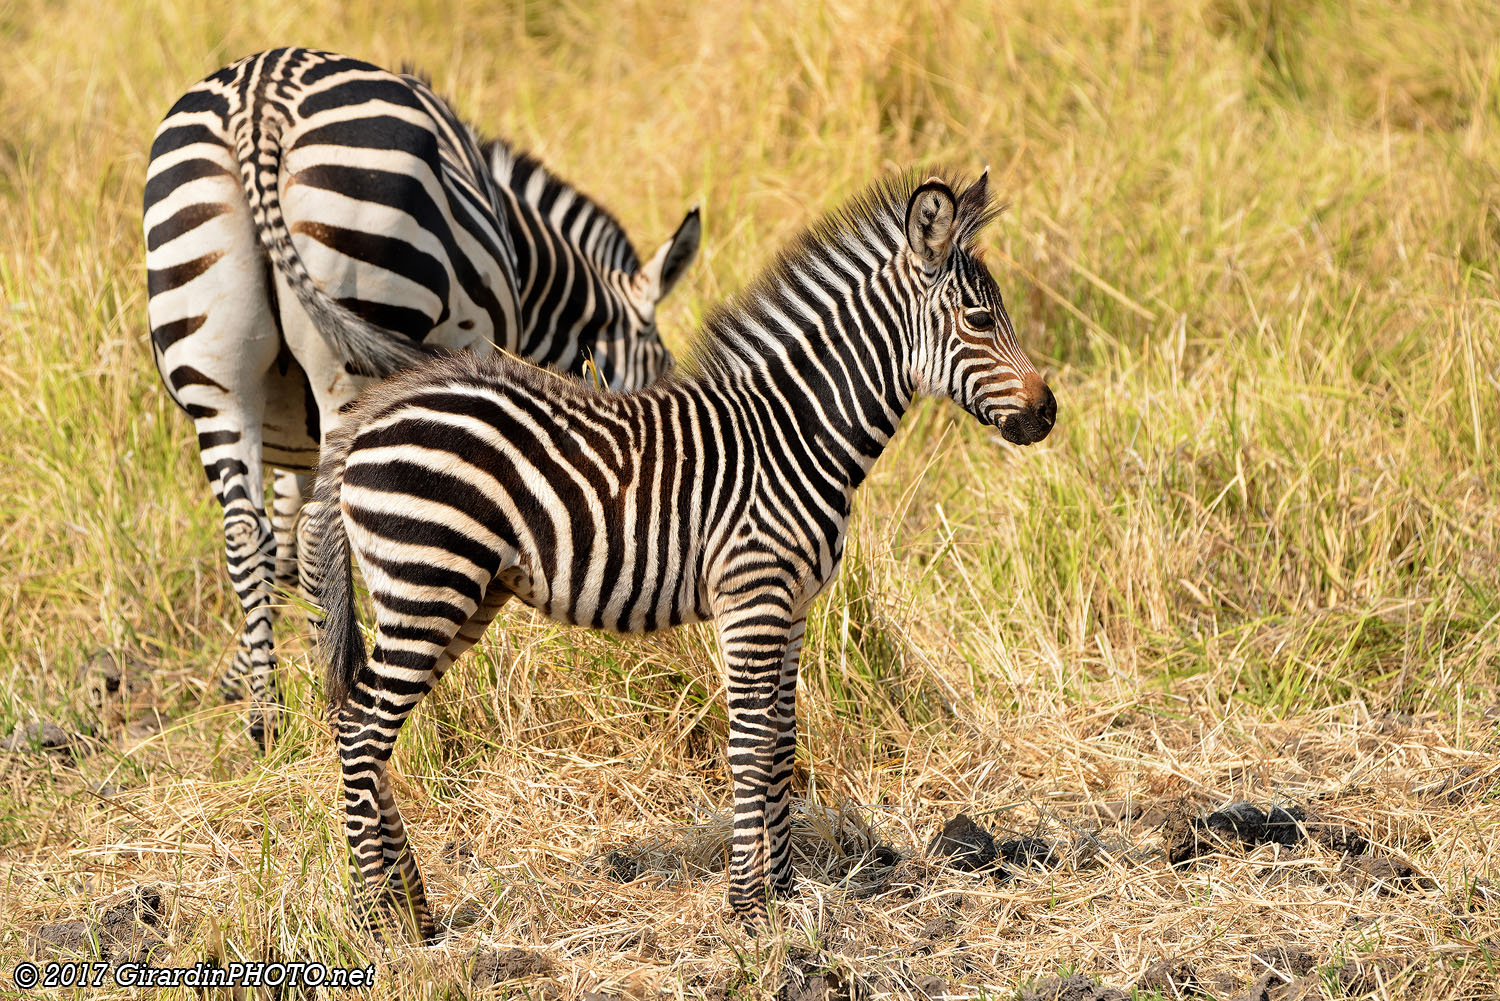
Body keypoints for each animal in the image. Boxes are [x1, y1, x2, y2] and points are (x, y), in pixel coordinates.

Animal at [143, 48, 700, 745]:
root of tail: (259, 100)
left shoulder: (294, 442)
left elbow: (281, 535)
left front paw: (258, 670)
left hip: (213, 371)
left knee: (247, 532)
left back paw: (266, 720)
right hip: (356, 330)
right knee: (320, 529)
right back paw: (341, 694)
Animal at [305, 169, 1056, 938]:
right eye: (977, 320)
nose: (1048, 412)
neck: (799, 433)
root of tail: (373, 414)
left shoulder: (791, 606)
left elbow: (783, 742)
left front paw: (783, 892)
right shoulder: (753, 595)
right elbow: (751, 745)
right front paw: (748, 906)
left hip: (464, 592)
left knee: (364, 725)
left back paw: (412, 910)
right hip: (427, 580)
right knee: (362, 727)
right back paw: (379, 915)